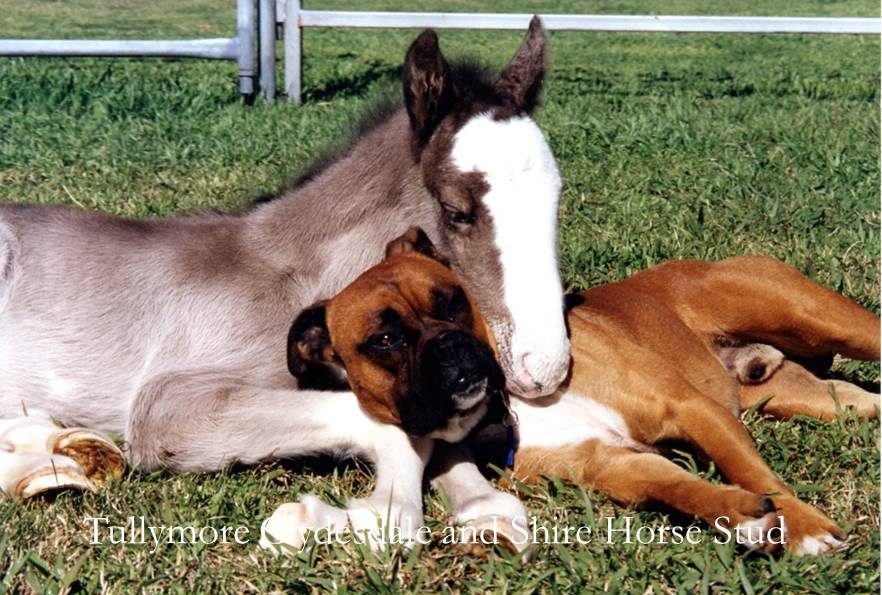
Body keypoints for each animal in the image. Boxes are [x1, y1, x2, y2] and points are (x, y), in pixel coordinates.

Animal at [278, 229, 876, 560]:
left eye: (453, 301)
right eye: (385, 340)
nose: (450, 344)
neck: (511, 405)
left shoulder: (693, 411)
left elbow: (753, 471)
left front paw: (802, 527)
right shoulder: (616, 464)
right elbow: (682, 488)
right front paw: (745, 516)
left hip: (815, 318)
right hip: (813, 396)